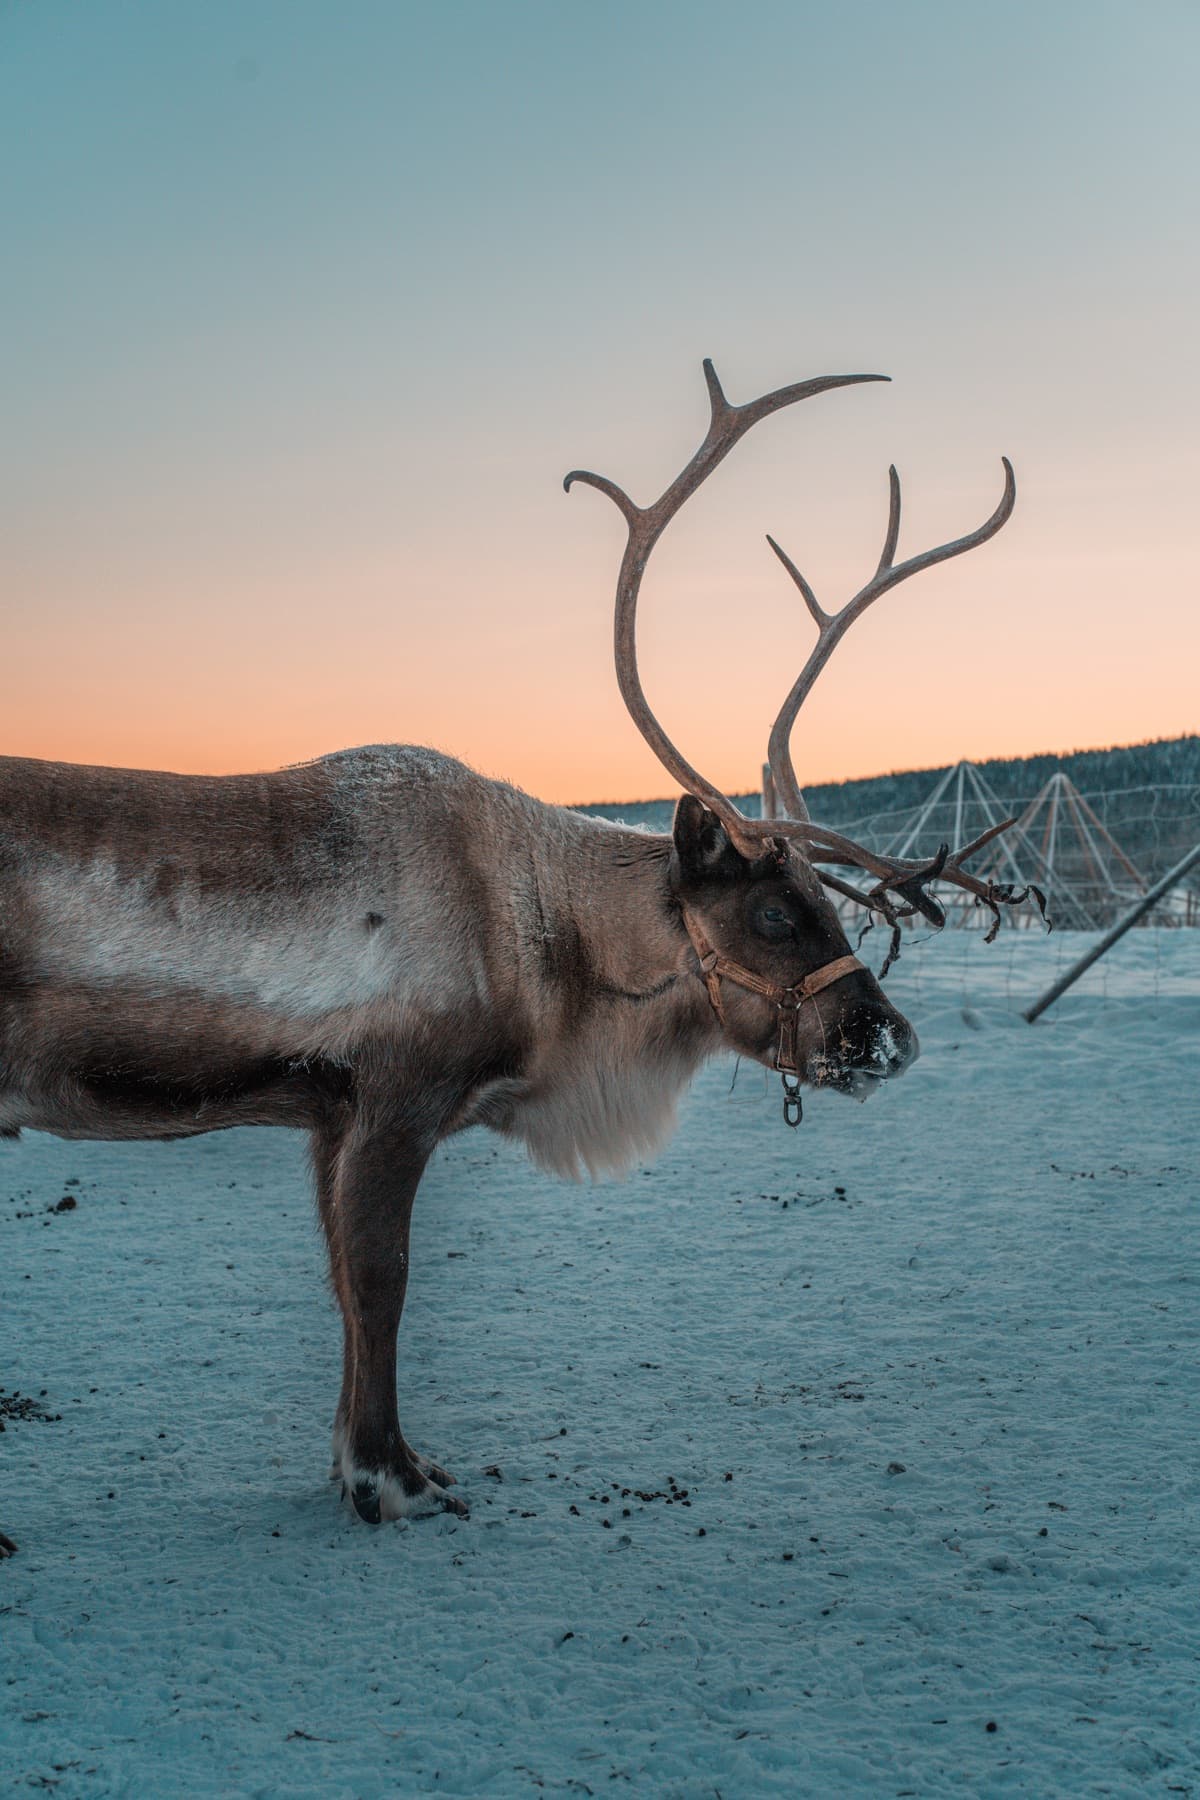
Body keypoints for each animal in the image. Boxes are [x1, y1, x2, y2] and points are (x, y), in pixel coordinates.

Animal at [0, 360, 1036, 1555]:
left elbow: (342, 1289)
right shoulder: (395, 1099)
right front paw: (389, 1479)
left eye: (830, 902)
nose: (888, 1038)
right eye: (777, 914)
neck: (541, 934)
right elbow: (383, 1284)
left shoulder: (327, 1118)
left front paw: (368, 1464)